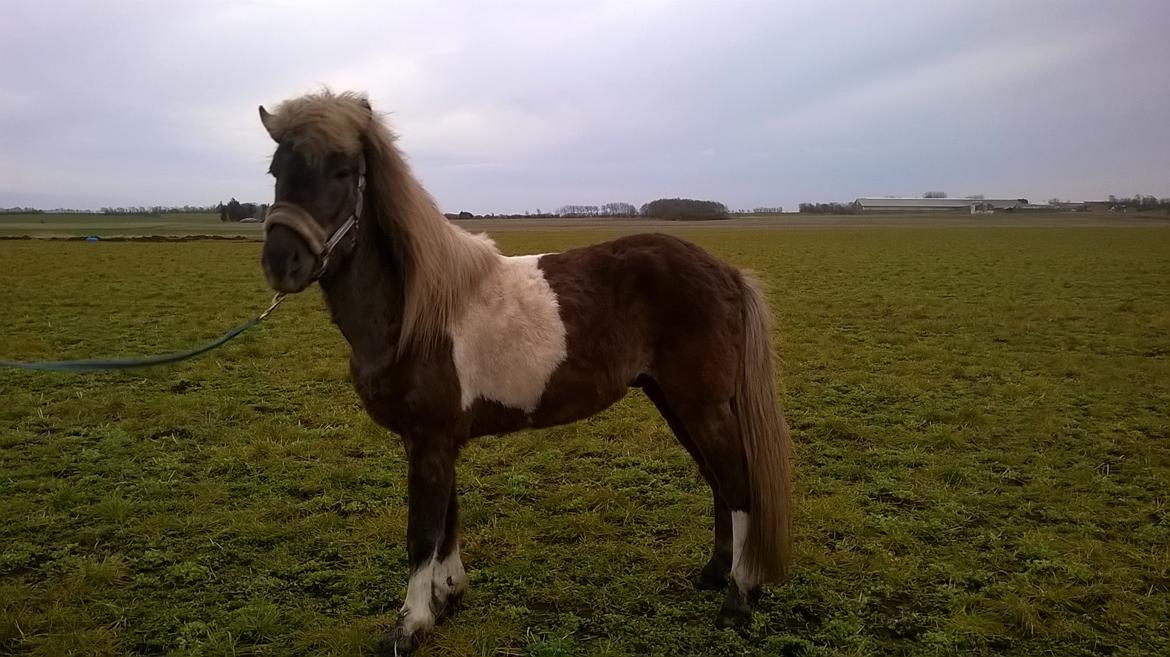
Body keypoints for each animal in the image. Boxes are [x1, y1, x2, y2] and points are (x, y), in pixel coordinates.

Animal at [257, 89, 795, 649]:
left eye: (342, 170)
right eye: (276, 169)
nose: (281, 262)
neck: (415, 310)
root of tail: (727, 272)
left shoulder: (429, 438)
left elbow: (422, 533)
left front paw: (411, 624)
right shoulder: (433, 441)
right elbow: (448, 520)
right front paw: (447, 598)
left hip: (701, 404)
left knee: (738, 485)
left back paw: (738, 598)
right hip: (672, 401)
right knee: (717, 481)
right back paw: (715, 575)